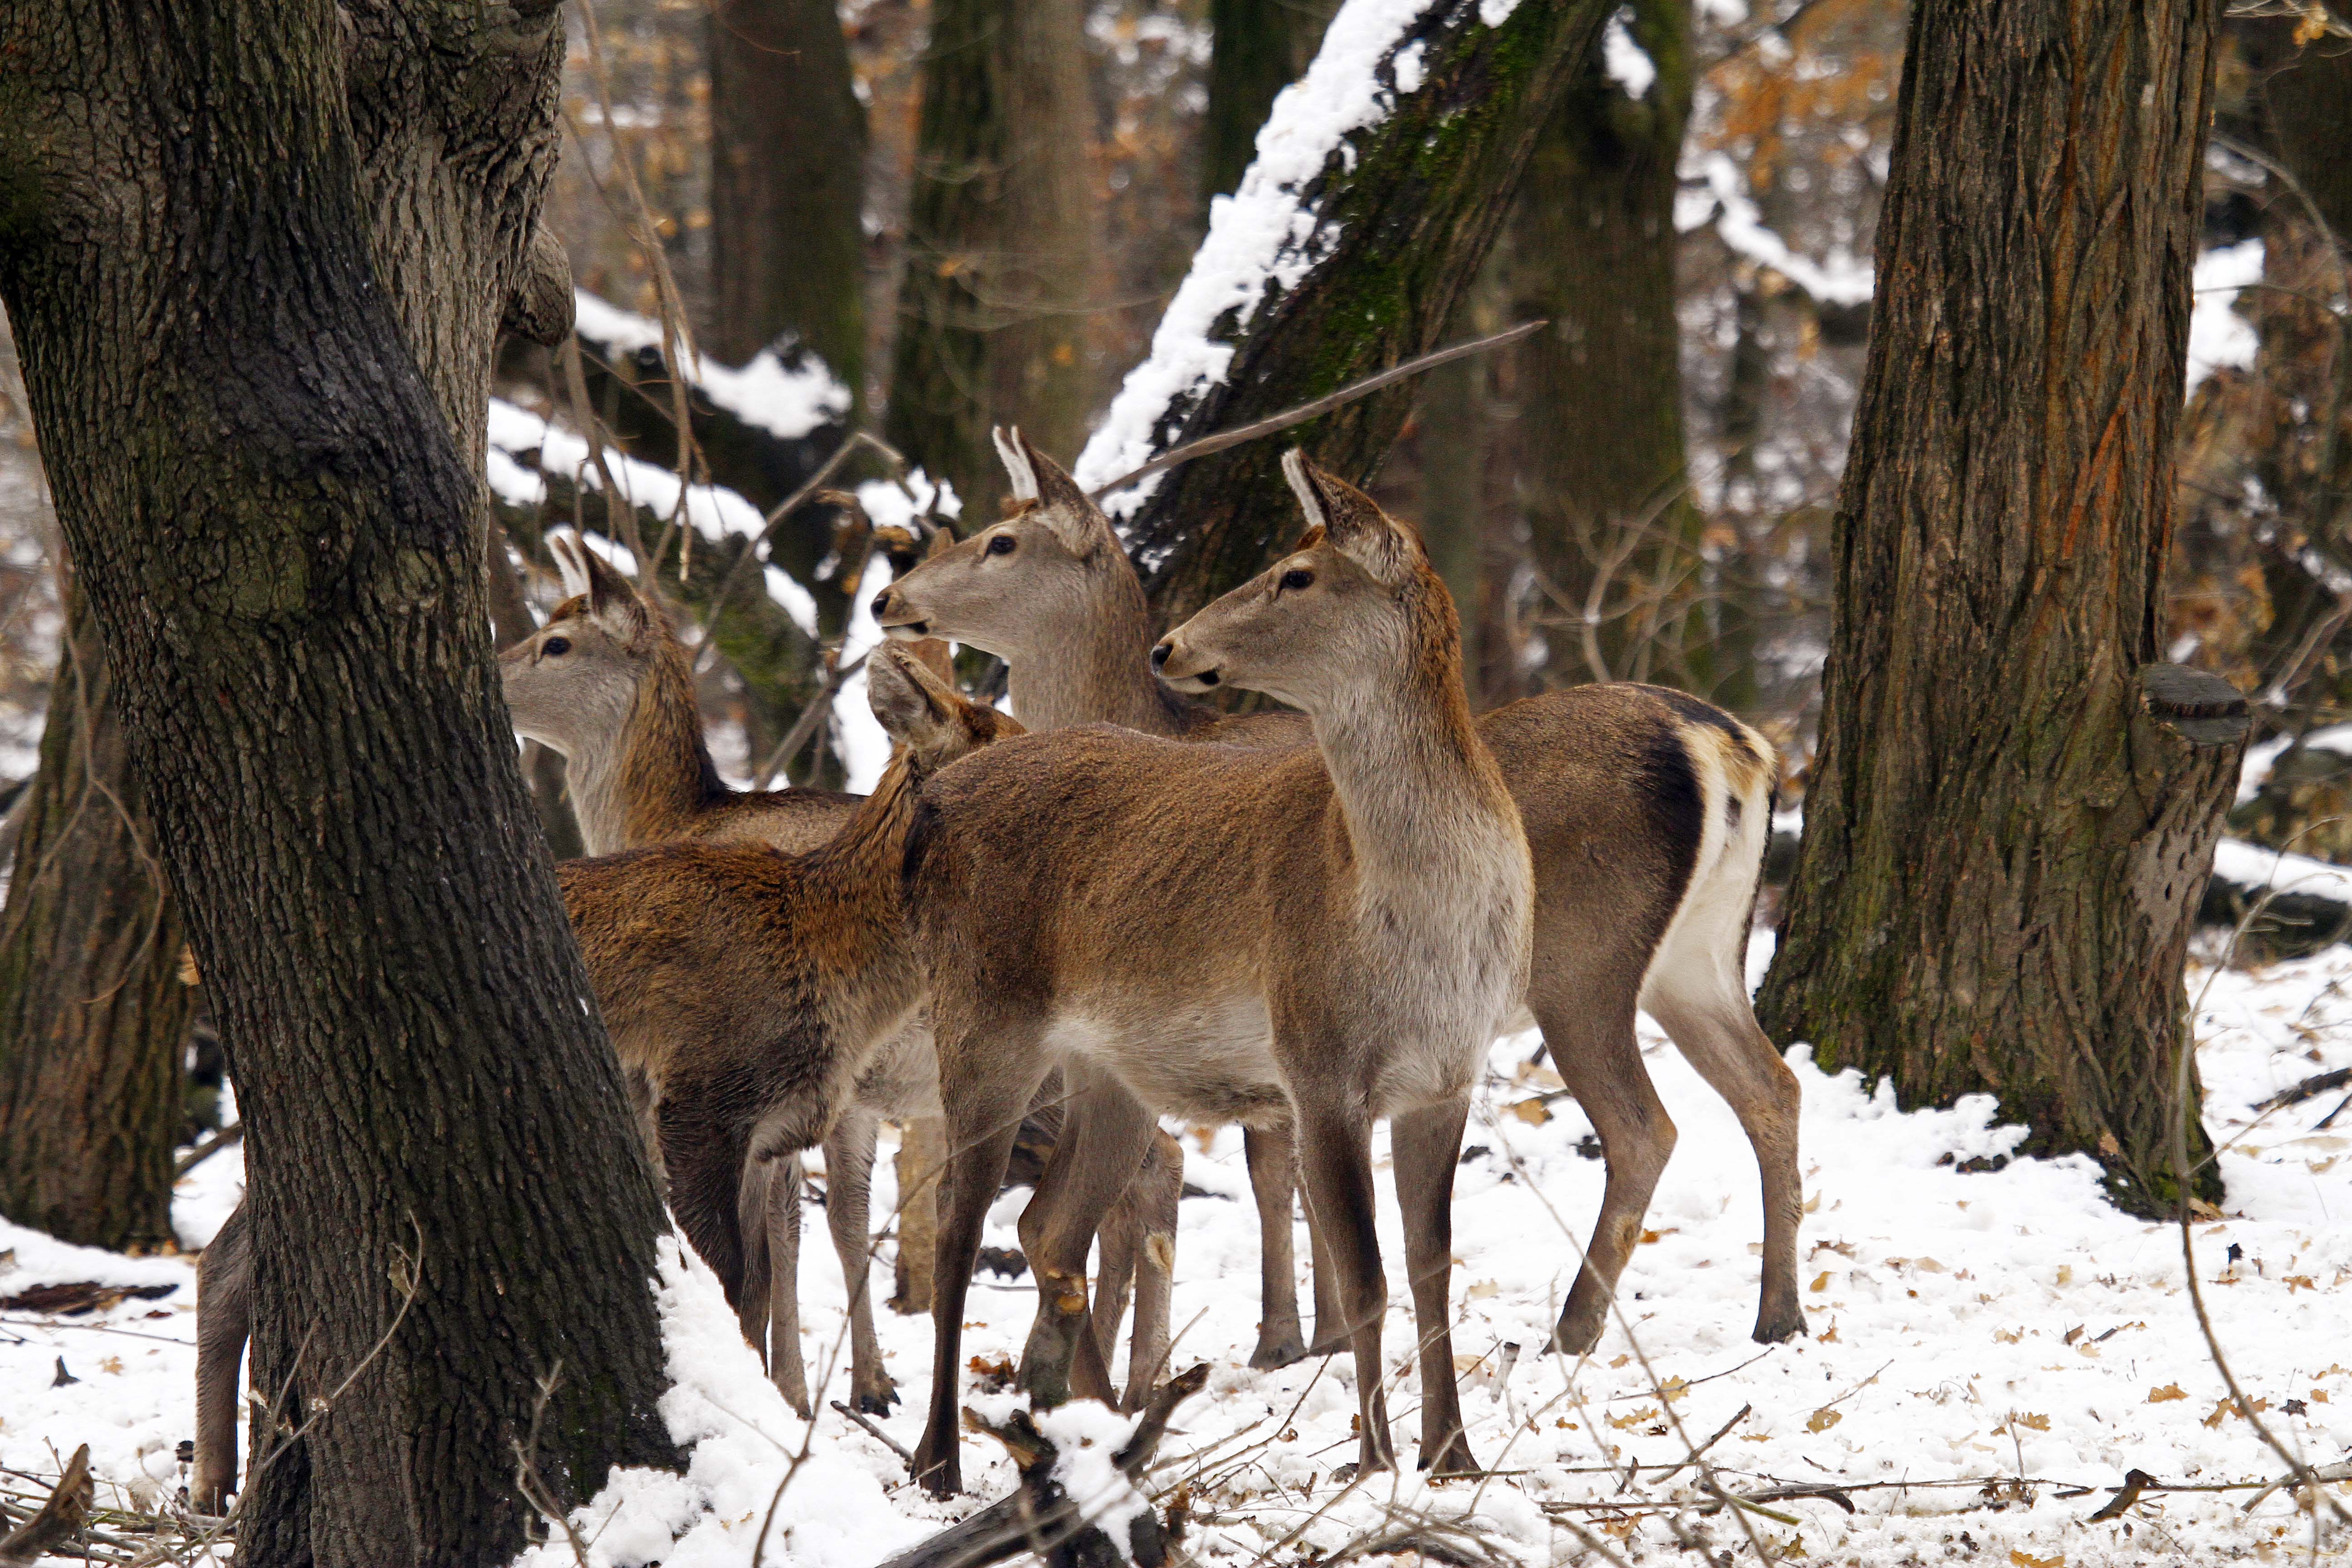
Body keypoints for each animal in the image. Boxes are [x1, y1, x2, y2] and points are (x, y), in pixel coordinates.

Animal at [875, 430, 1806, 1372]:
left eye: (1000, 542)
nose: (887, 598)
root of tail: (1734, 745)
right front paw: (1307, 1333)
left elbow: (1272, 1173)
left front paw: (1288, 1337)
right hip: (1697, 956)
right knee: (1771, 1086)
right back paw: (1777, 1314)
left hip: (1582, 965)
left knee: (1644, 1126)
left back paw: (1572, 1328)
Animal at [903, 446, 1543, 1495]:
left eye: (1298, 574)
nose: (1171, 646)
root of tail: (938, 800)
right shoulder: (1318, 1060)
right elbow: (1365, 1275)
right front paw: (1372, 1461)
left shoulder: (1449, 1074)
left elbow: (1431, 1266)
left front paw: (1454, 1456)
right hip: (979, 1016)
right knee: (958, 1229)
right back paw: (939, 1459)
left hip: (1108, 1069)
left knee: (1048, 1223)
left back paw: (1091, 1435)